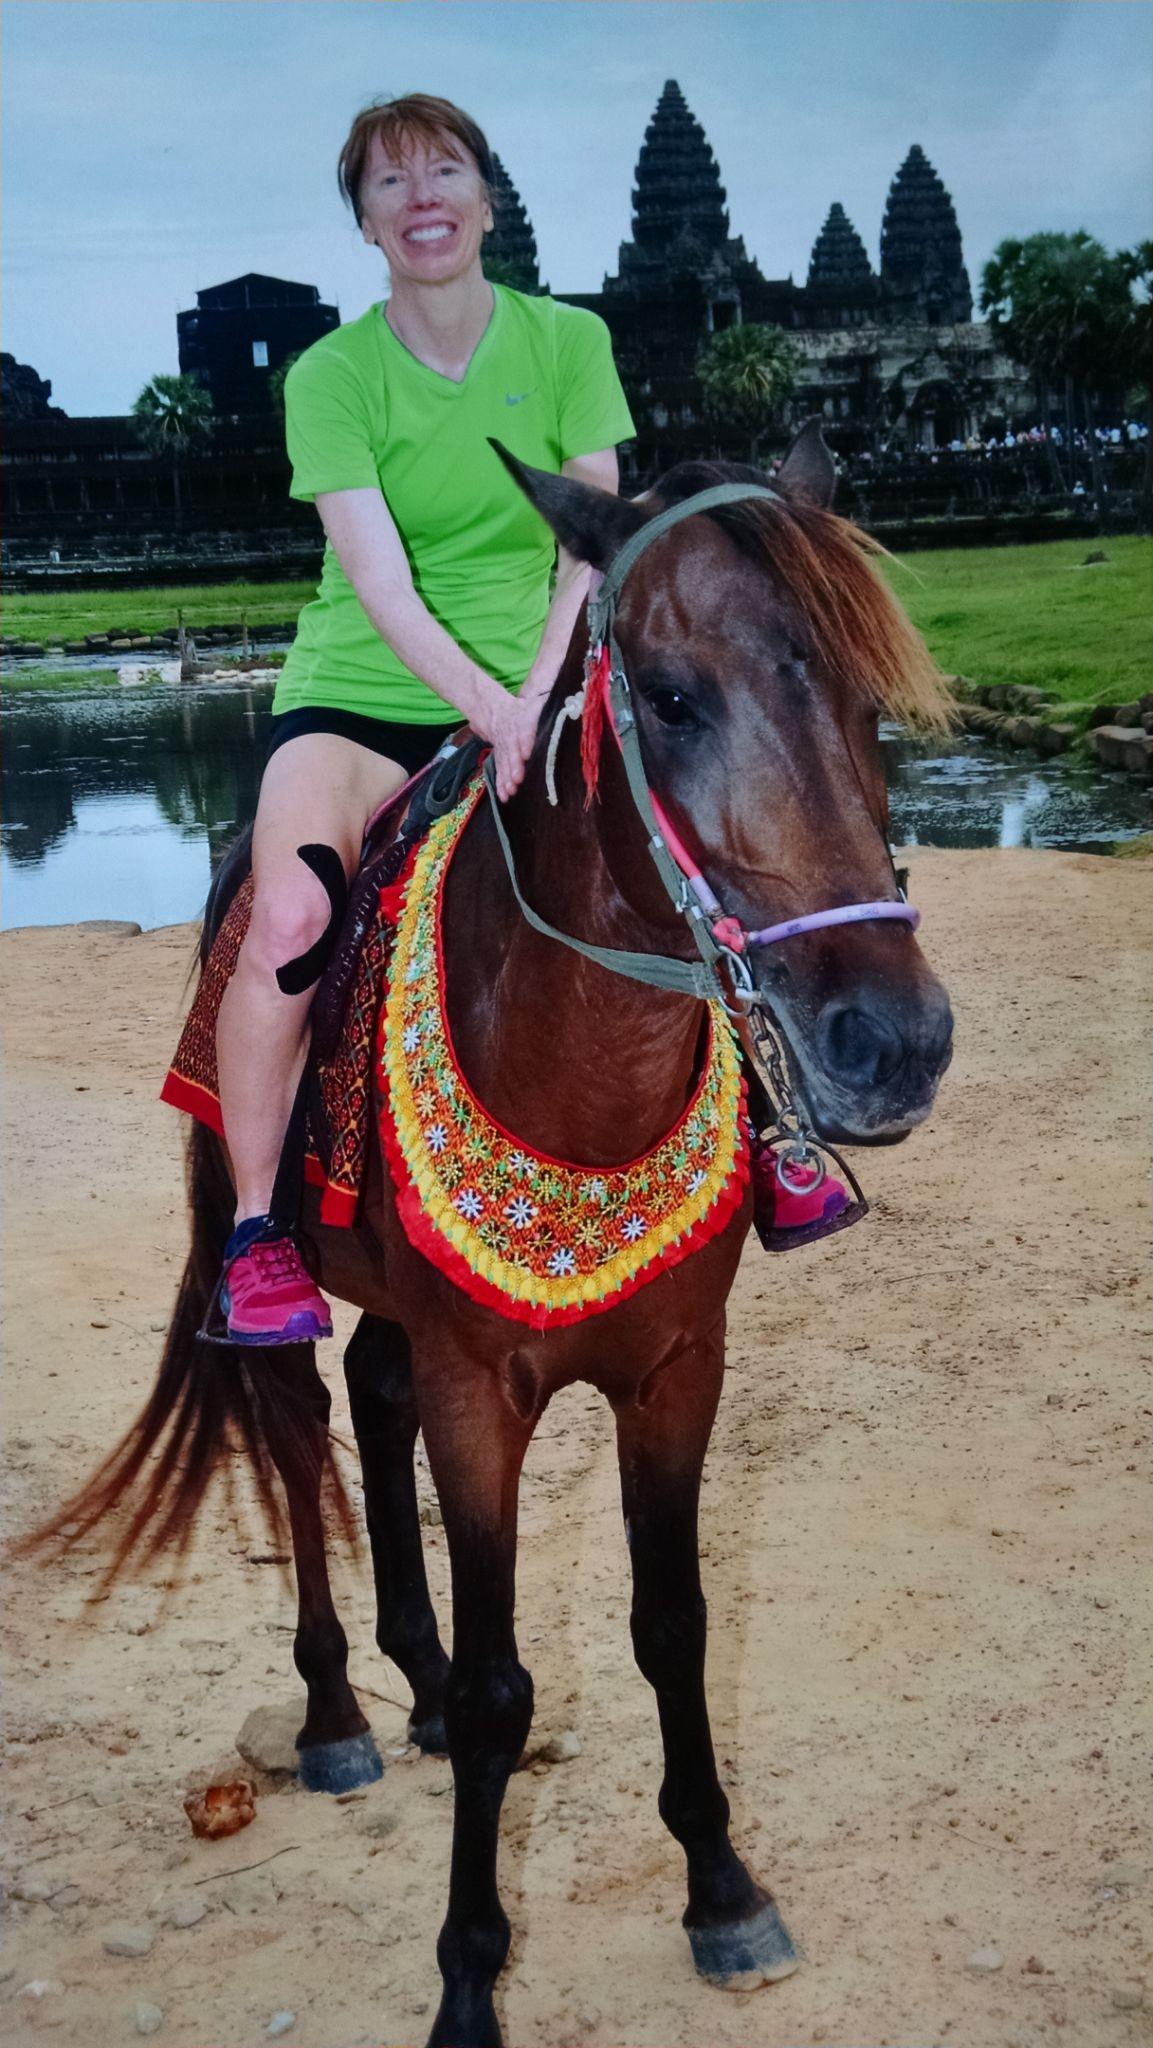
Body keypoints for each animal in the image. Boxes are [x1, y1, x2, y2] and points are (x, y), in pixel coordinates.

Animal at [36, 419, 958, 2048]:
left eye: (866, 701)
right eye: (672, 697)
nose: (893, 1040)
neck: (576, 1077)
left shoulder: (677, 1368)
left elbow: (672, 1623)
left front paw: (721, 1890)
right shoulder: (487, 1394)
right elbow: (498, 1685)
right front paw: (469, 1972)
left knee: (371, 1391)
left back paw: (397, 1677)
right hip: (268, 1250)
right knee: (297, 1429)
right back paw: (339, 1712)